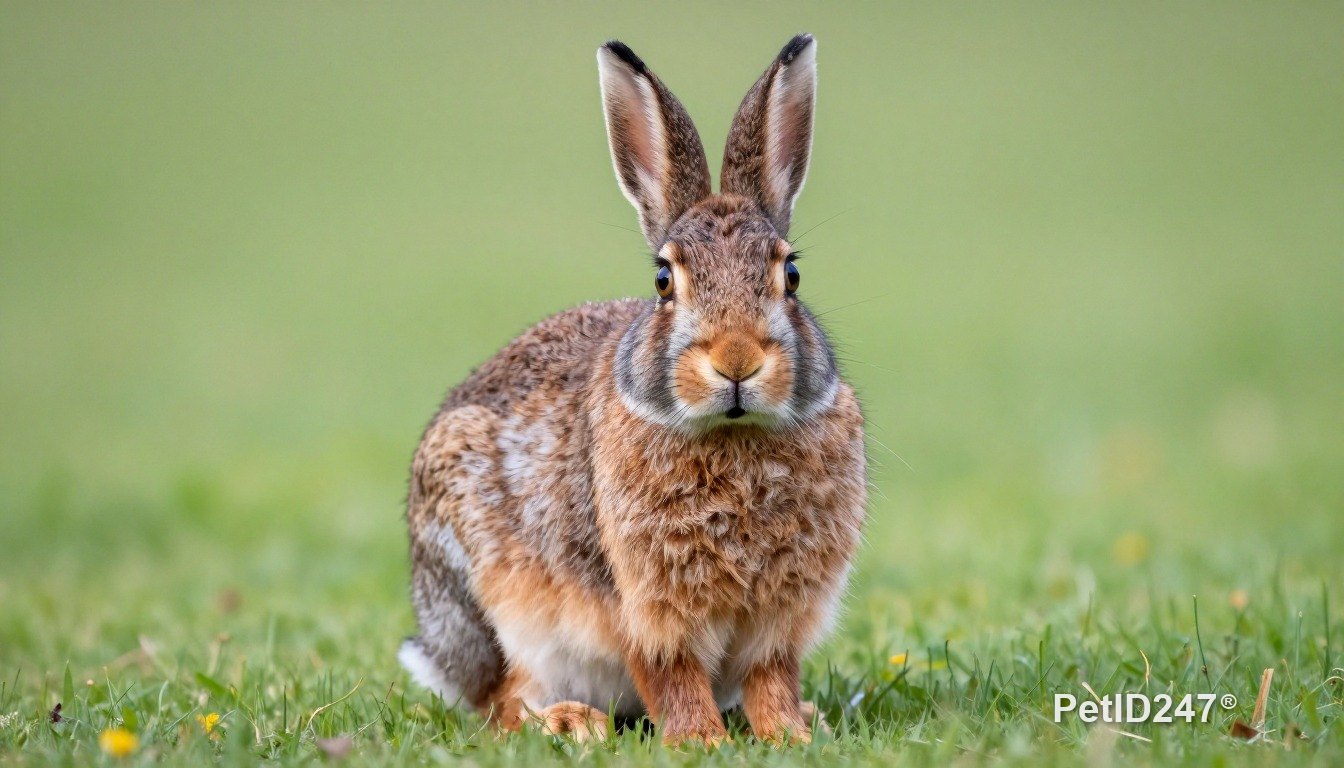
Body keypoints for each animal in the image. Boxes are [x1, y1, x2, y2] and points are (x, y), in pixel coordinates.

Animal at [401, 33, 866, 746]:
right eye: (663, 281)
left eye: (790, 275)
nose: (736, 360)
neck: (732, 437)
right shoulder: (642, 609)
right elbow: (672, 676)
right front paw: (701, 741)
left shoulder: (778, 621)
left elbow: (771, 680)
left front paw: (791, 734)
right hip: (491, 600)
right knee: (501, 702)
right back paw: (570, 722)